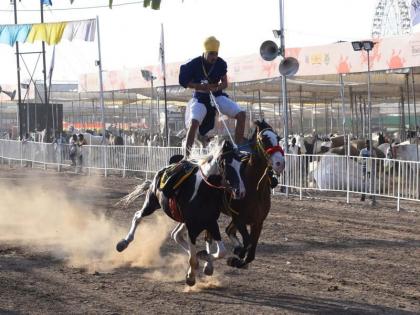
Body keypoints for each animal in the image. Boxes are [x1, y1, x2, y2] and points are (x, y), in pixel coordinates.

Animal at [116, 141, 244, 286]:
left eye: (240, 166)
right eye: (227, 164)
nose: (239, 191)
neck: (203, 192)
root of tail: (160, 172)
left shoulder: (211, 223)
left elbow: (221, 251)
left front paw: (205, 260)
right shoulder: (193, 227)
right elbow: (194, 257)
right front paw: (191, 277)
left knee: (176, 235)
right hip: (152, 203)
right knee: (138, 216)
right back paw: (123, 243)